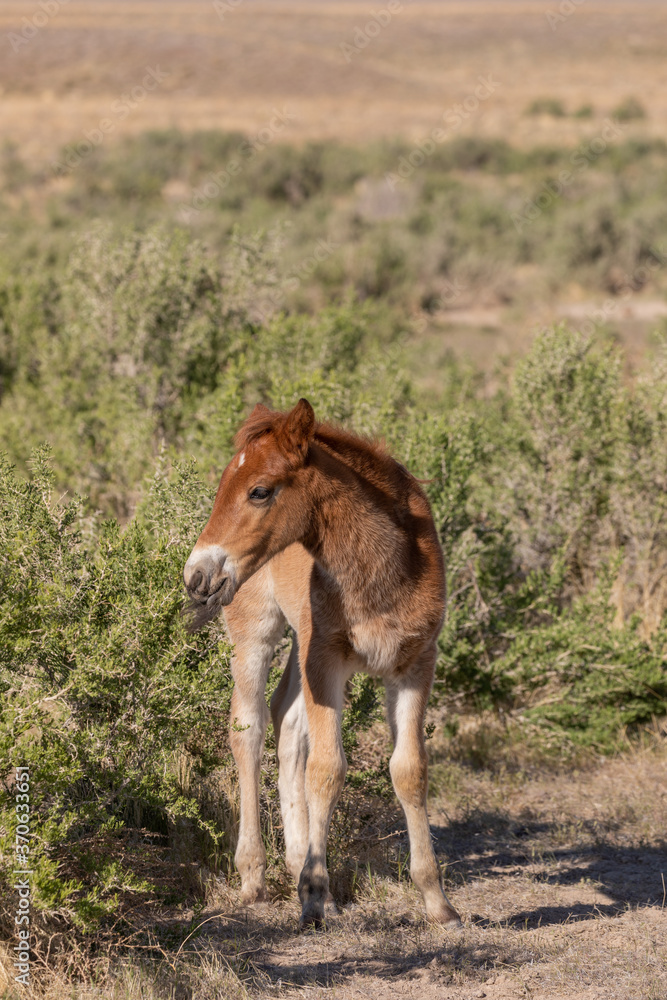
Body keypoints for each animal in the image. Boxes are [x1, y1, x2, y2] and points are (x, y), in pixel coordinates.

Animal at [183, 398, 461, 930]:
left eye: (259, 490)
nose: (197, 575)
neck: (380, 571)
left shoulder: (415, 664)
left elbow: (409, 770)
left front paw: (437, 901)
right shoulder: (326, 659)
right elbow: (327, 769)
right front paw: (312, 894)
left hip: (301, 644)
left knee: (286, 721)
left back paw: (303, 872)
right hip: (257, 632)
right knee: (248, 728)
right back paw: (256, 875)